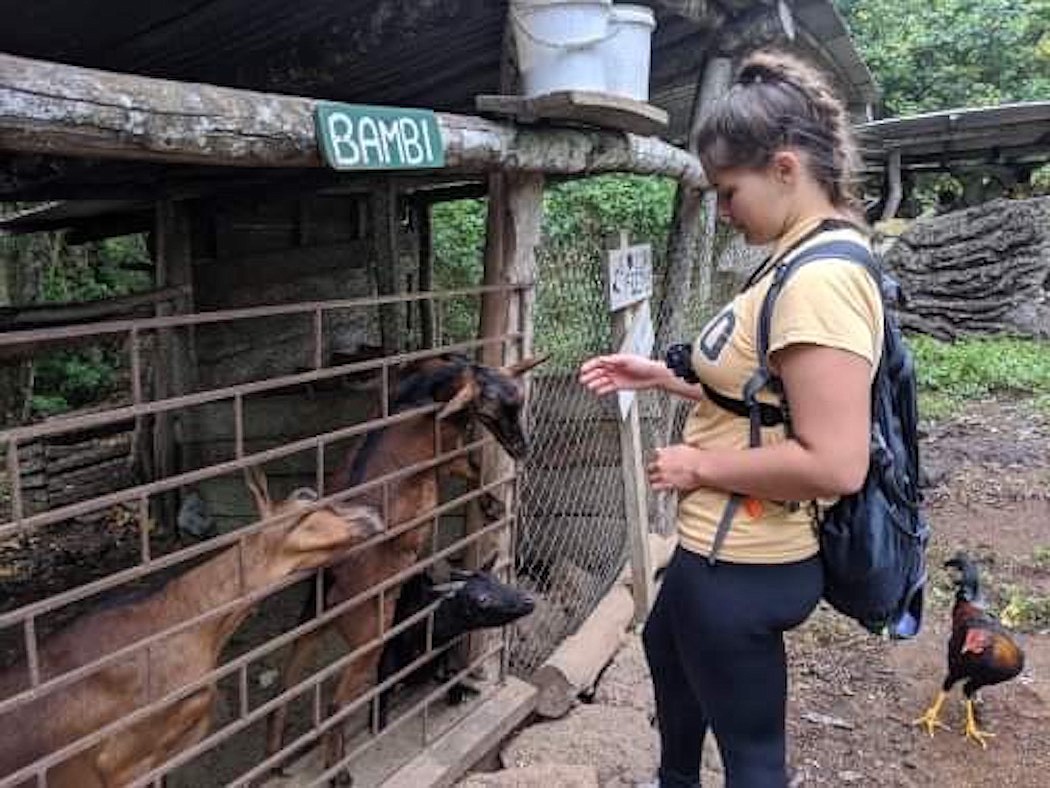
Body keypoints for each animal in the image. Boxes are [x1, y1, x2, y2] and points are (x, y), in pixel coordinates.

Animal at [264, 353, 541, 785]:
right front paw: (493, 505)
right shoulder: (447, 452)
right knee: (335, 703)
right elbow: (473, 465)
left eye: (520, 403)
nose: (521, 448)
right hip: (371, 630)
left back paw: (276, 760)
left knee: (285, 688)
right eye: (492, 410)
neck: (423, 392)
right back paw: (339, 771)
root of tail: (334, 580)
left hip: (309, 622)